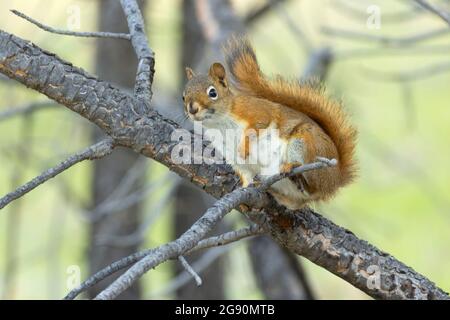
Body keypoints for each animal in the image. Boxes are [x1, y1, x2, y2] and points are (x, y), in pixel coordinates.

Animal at [181, 37, 356, 210]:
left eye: (212, 93)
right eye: (183, 96)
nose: (192, 109)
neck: (218, 123)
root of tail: (336, 179)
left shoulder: (257, 111)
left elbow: (258, 126)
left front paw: (244, 147)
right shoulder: (234, 158)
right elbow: (246, 176)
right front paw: (244, 189)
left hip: (305, 143)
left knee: (312, 186)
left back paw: (293, 170)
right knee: (296, 202)